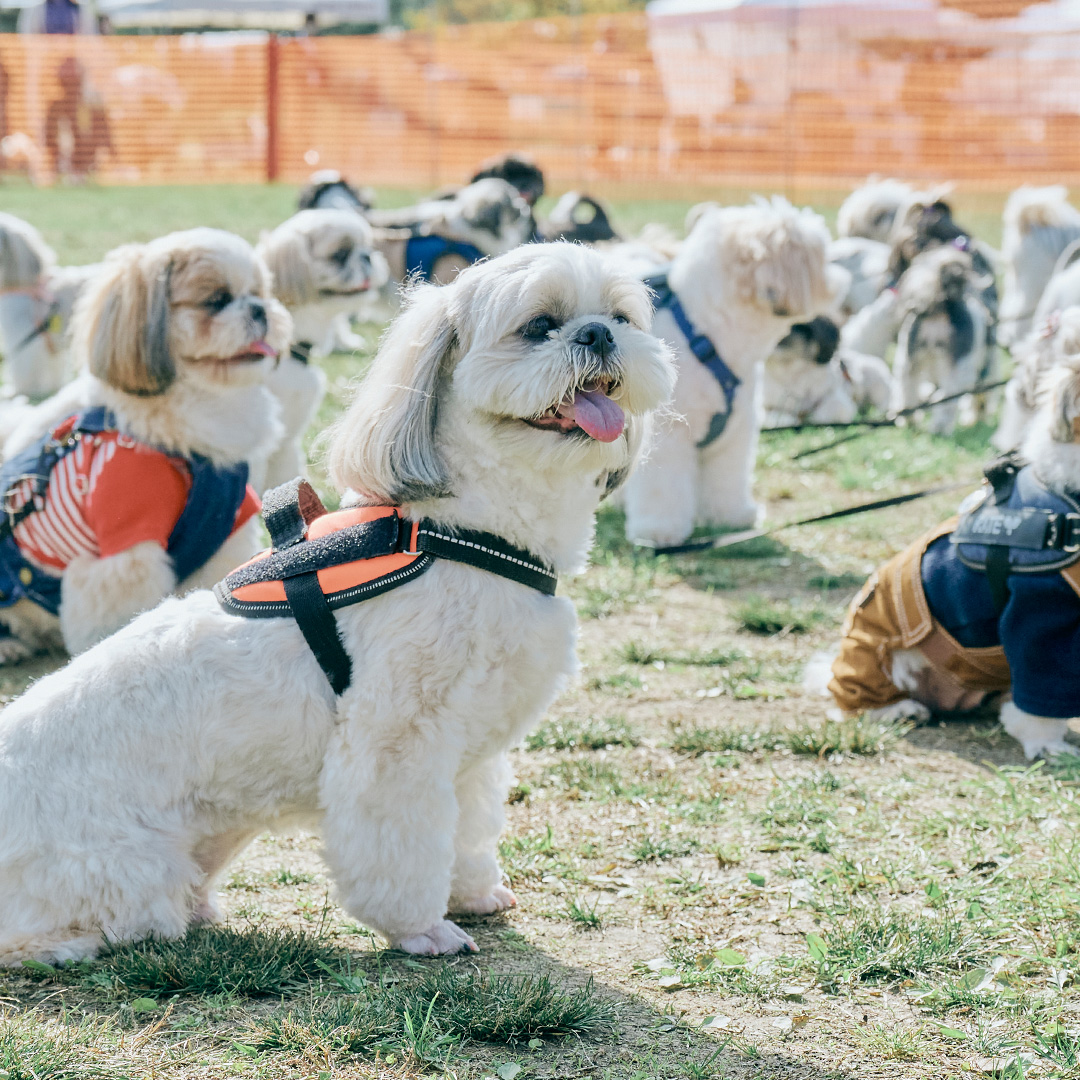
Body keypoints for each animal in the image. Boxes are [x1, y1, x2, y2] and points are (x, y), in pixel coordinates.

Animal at [626, 196, 842, 548]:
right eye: (821, 257)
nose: (841, 274)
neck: (707, 336)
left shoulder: (736, 432)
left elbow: (728, 479)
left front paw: (732, 515)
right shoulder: (666, 438)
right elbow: (663, 490)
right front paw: (659, 531)